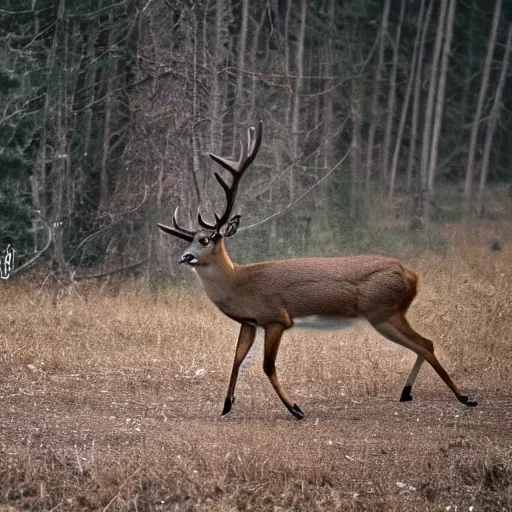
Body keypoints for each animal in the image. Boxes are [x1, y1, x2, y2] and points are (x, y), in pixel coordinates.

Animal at [158, 121, 478, 420]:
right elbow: (237, 359)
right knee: (423, 345)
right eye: (188, 240)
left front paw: (296, 409)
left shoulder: (276, 317)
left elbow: (267, 365)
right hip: (388, 312)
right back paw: (408, 392)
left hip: (383, 311)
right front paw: (226, 405)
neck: (239, 283)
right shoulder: (250, 322)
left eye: (205, 239)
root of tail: (413, 276)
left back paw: (464, 397)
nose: (184, 257)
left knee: (425, 343)